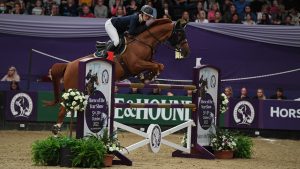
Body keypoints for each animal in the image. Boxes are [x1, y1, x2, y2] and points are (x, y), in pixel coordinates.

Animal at [45, 18, 191, 135]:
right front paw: (147, 77)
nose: (186, 51)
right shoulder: (135, 64)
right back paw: (56, 131)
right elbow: (157, 66)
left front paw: (146, 77)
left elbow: (159, 65)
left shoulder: (146, 62)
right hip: (74, 90)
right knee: (63, 108)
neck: (144, 42)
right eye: (179, 33)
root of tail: (69, 65)